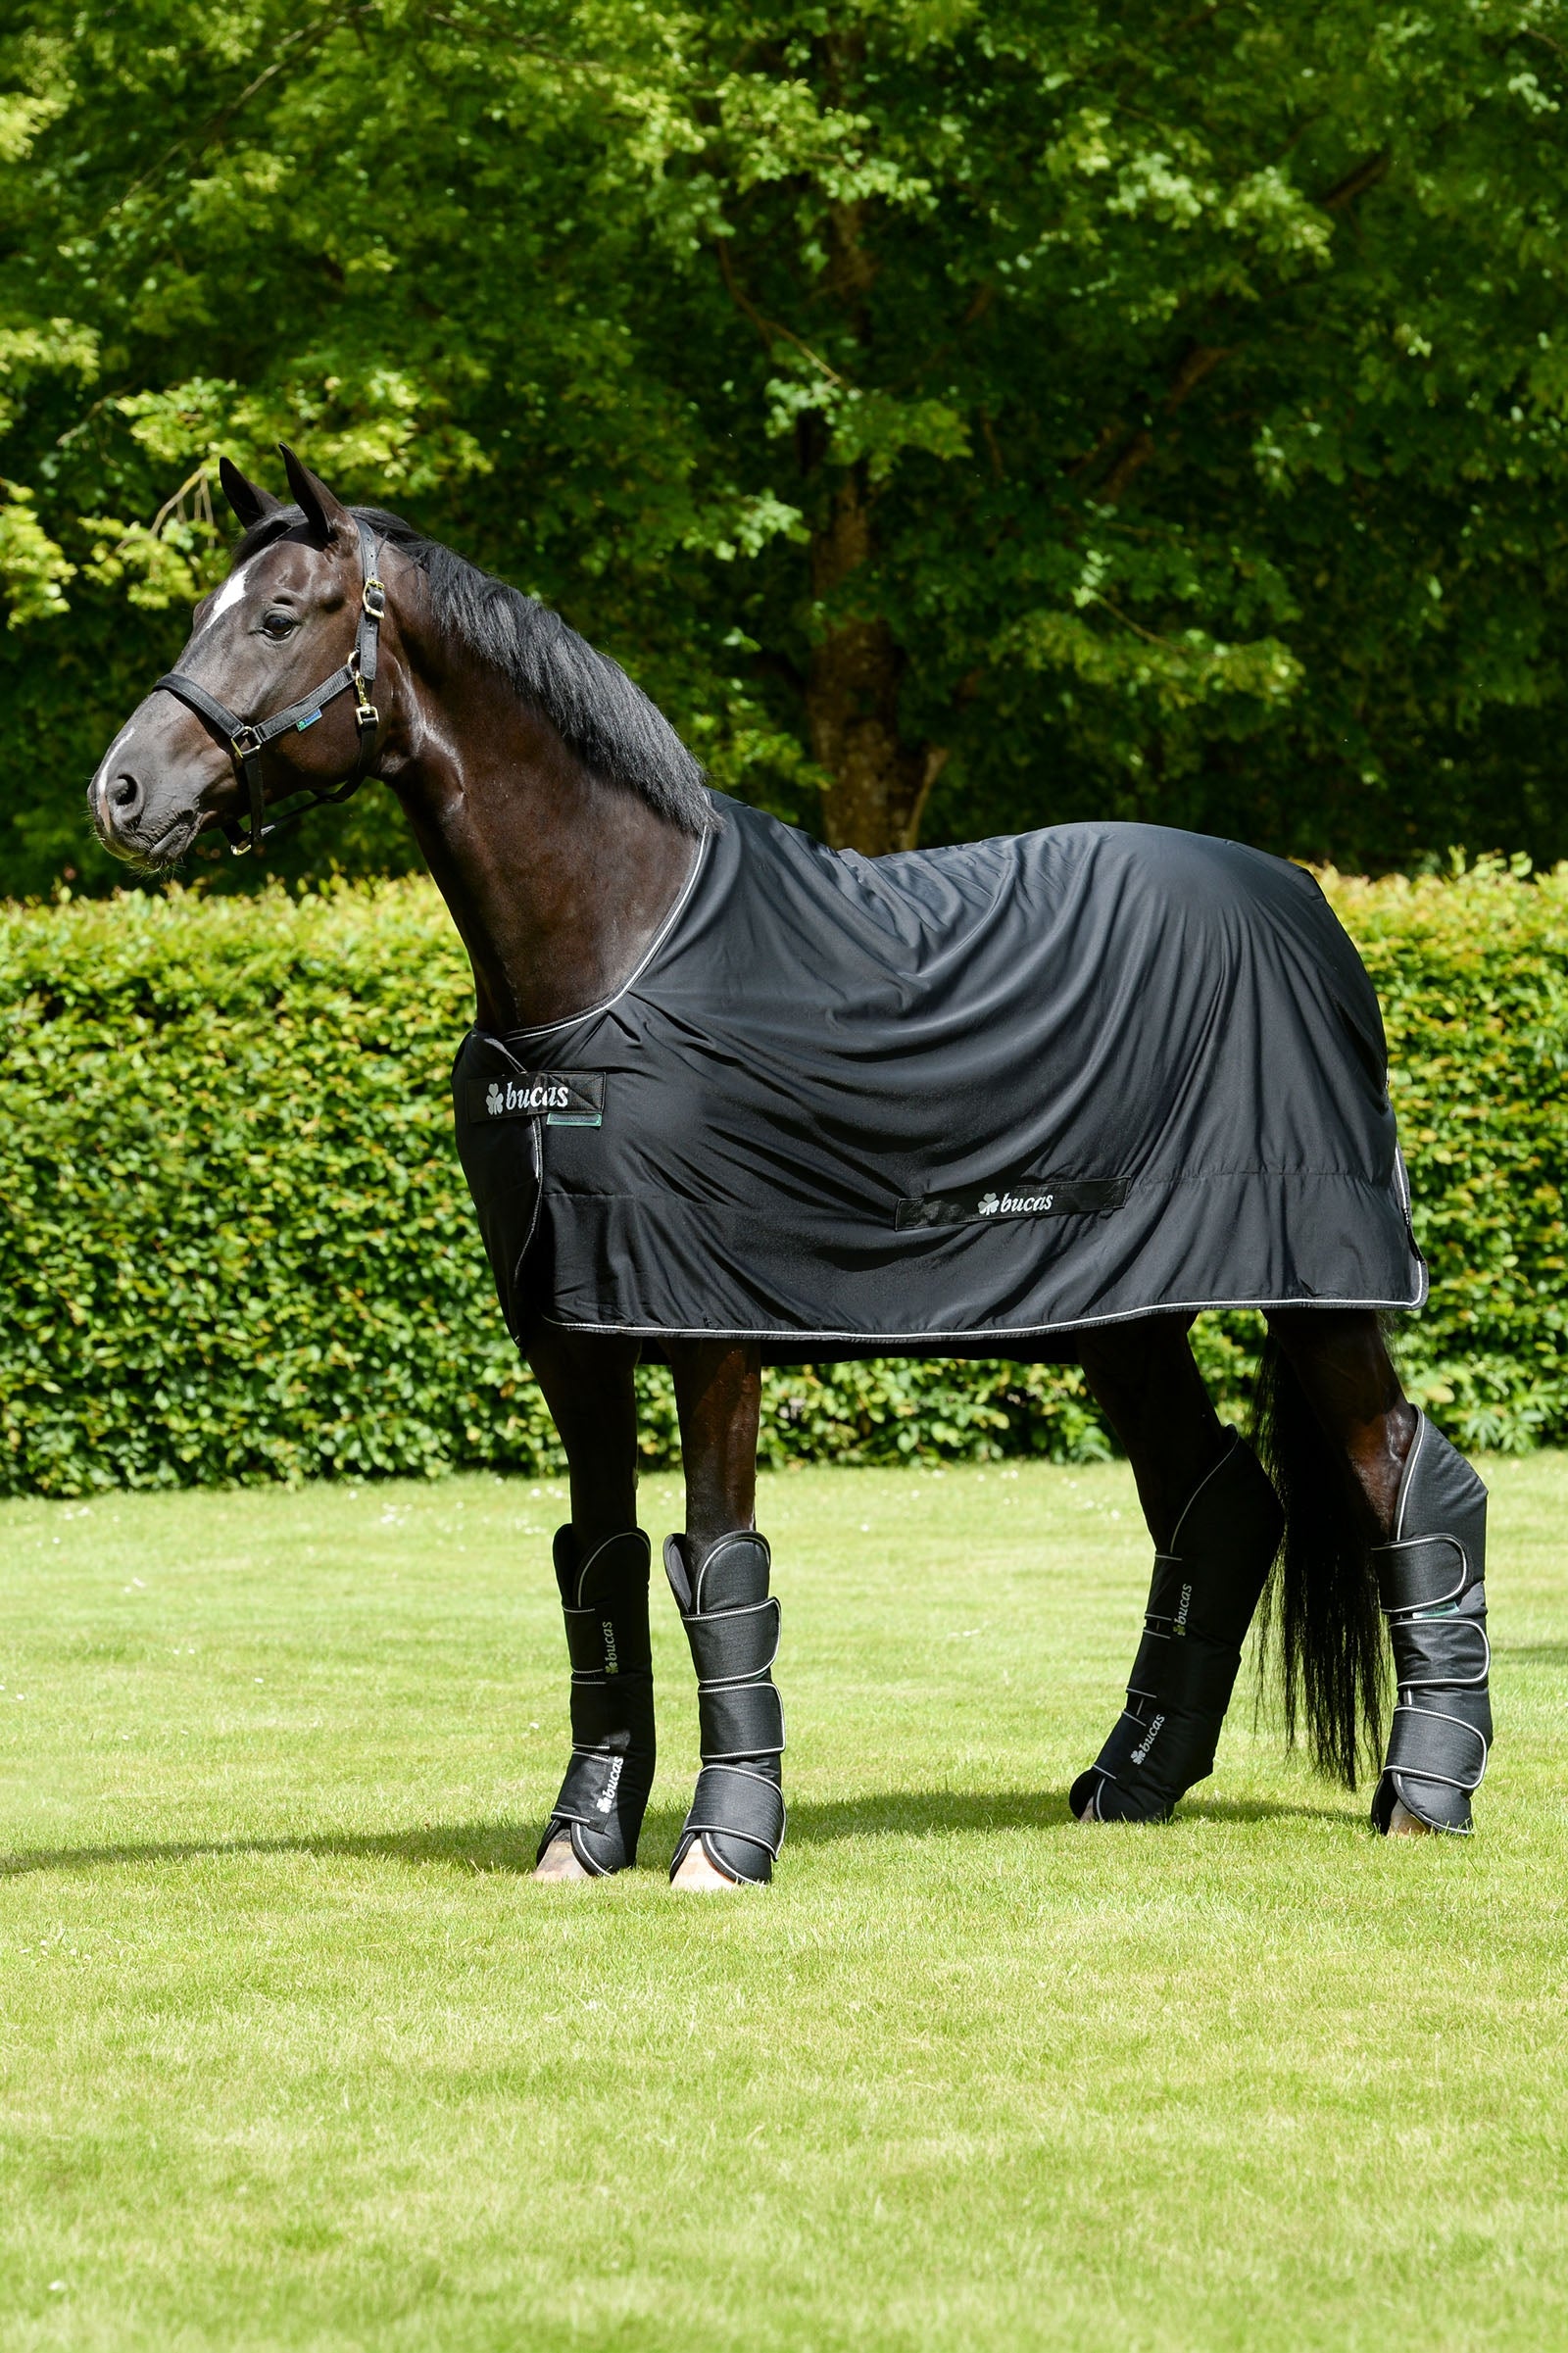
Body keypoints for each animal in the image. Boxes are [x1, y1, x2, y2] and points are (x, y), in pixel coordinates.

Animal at [87, 447, 1493, 1886]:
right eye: (201, 609)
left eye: (278, 616)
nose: (123, 794)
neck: (617, 952)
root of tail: (1304, 904)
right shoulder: (570, 1328)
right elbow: (598, 1565)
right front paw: (583, 1835)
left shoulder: (710, 1320)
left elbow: (718, 1563)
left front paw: (723, 1844)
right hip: (1126, 1312)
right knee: (1217, 1506)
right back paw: (1132, 1781)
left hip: (1317, 1288)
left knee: (1409, 1478)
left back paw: (1423, 1794)